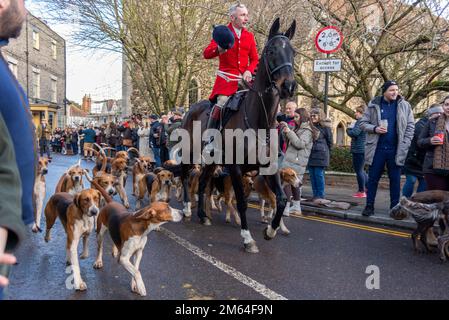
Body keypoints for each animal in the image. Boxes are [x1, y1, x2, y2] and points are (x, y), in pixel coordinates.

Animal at [177, 18, 296, 252]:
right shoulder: (236, 168)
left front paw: (270, 230)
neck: (259, 121)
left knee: (202, 182)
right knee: (186, 177)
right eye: (271, 50)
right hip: (190, 153)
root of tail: (190, 108)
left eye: (293, 52)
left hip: (212, 162)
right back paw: (186, 208)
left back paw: (202, 215)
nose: (288, 85)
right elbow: (241, 202)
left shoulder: (270, 166)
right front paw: (248, 238)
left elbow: (281, 199)